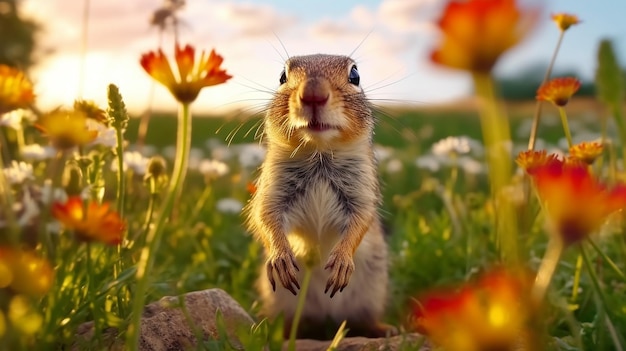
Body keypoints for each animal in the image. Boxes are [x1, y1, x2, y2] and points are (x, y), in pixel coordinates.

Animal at [244, 55, 390, 340]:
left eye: (355, 75)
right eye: (282, 76)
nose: (313, 94)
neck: (319, 151)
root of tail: (327, 317)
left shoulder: (361, 192)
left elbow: (361, 221)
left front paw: (342, 261)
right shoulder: (273, 191)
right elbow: (265, 217)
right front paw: (280, 257)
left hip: (373, 293)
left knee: (363, 320)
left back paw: (385, 329)